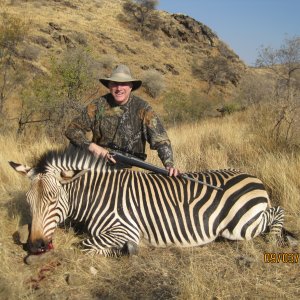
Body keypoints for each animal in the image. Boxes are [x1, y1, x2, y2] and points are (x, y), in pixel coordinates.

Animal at [8, 146, 286, 256]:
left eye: (53, 200)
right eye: (29, 201)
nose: (34, 246)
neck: (97, 195)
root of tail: (253, 177)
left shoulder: (124, 228)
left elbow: (86, 245)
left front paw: (126, 250)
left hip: (239, 226)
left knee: (278, 211)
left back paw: (274, 241)